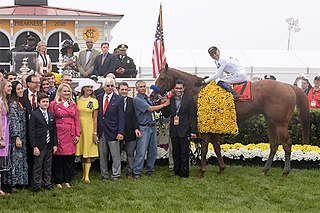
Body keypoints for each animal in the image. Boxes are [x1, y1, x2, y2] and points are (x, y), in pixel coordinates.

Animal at [153, 65, 310, 177]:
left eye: (162, 78)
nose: (153, 94)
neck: (197, 90)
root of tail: (289, 86)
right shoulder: (213, 125)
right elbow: (216, 146)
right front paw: (221, 168)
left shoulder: (205, 126)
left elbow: (205, 147)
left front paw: (202, 171)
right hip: (270, 121)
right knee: (274, 143)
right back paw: (265, 170)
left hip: (280, 123)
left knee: (287, 144)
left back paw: (285, 171)